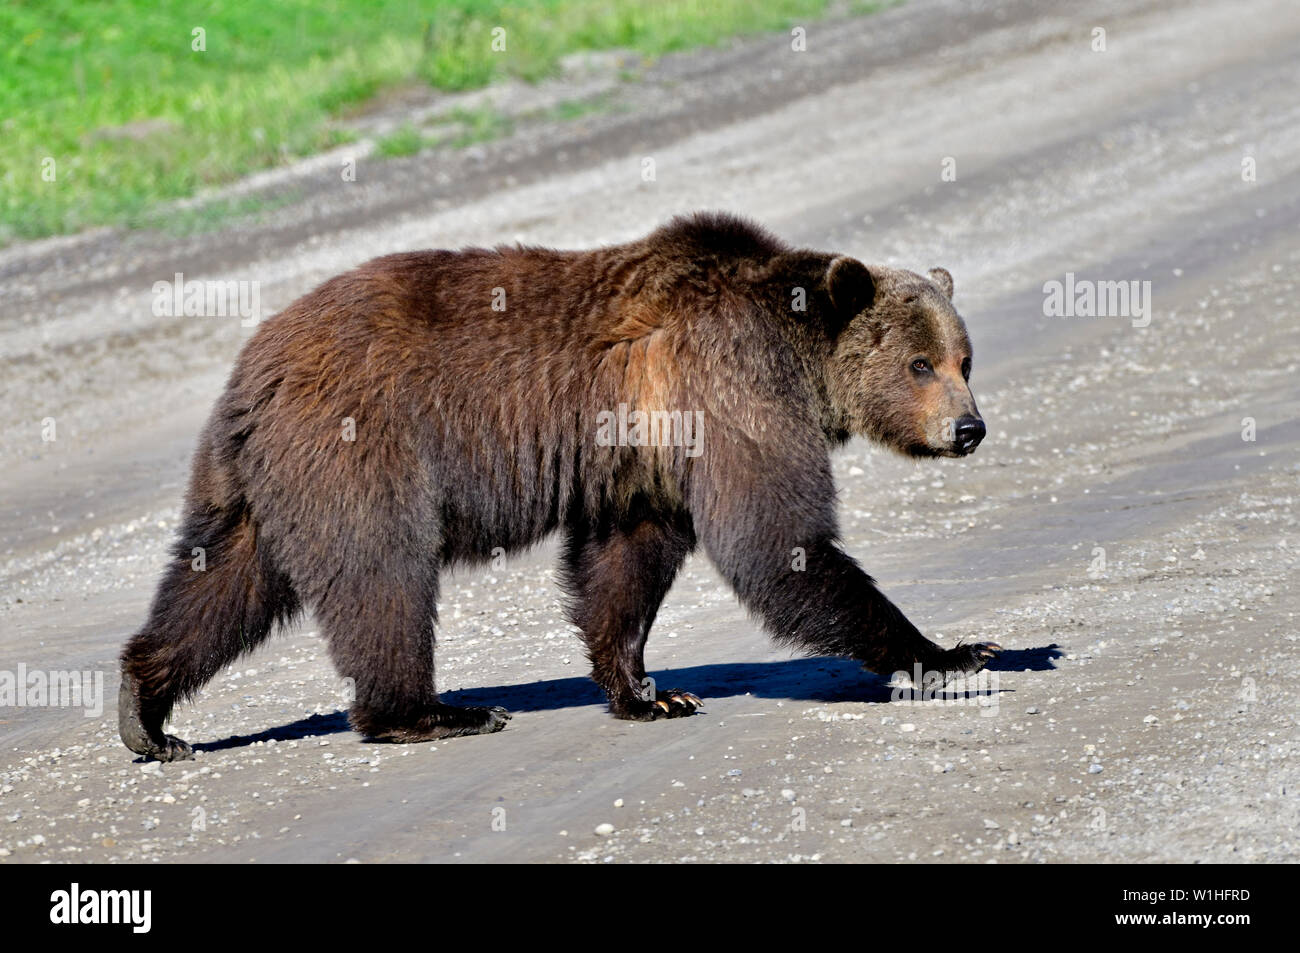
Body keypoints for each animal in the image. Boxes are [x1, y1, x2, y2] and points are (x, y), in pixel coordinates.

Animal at [119, 211, 996, 761]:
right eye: (920, 363)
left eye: (965, 358)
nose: (968, 428)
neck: (798, 351)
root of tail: (254, 363)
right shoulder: (728, 389)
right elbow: (777, 541)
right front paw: (954, 650)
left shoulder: (647, 457)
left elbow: (623, 566)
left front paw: (647, 690)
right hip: (360, 447)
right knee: (383, 578)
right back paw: (435, 712)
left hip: (261, 479)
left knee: (221, 581)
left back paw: (146, 712)